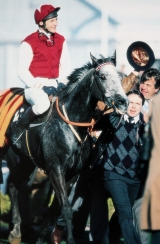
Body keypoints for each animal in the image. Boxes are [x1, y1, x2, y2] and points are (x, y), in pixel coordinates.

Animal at [0, 52, 128, 243]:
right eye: (103, 76)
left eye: (119, 77)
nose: (122, 102)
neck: (71, 123)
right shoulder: (56, 169)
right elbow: (67, 208)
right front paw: (70, 239)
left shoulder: (71, 174)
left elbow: (56, 209)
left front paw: (40, 239)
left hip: (25, 160)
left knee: (14, 185)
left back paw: (15, 232)